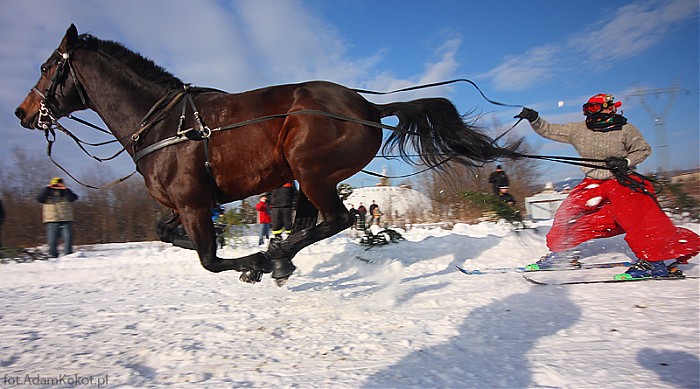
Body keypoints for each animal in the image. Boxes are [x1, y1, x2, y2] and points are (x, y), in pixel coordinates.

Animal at [15, 25, 520, 284]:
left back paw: (277, 256)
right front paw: (261, 258)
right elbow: (167, 234)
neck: (163, 123)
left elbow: (209, 258)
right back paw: (282, 255)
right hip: (309, 178)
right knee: (315, 223)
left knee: (335, 220)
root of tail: (368, 107)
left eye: (46, 66)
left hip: (310, 170)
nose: (21, 112)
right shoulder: (184, 205)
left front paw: (256, 262)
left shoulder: (195, 203)